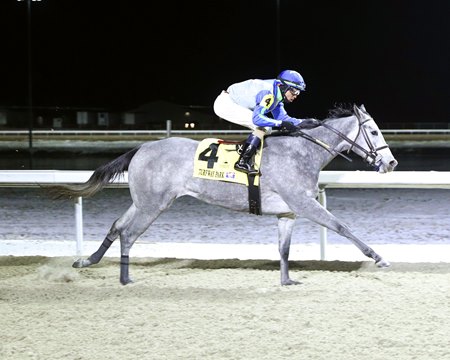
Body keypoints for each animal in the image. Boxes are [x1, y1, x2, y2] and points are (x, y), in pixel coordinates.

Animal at [51, 103, 400, 284]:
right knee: (128, 234)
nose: (391, 162)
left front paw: (286, 280)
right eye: (373, 131)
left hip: (144, 201)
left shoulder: (288, 211)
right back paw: (125, 278)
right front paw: (379, 258)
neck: (303, 152)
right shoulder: (304, 204)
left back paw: (87, 261)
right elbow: (343, 227)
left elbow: (284, 249)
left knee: (116, 226)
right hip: (153, 205)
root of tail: (141, 147)